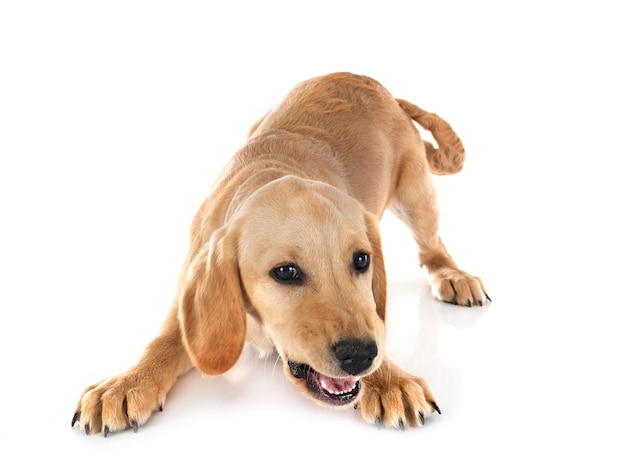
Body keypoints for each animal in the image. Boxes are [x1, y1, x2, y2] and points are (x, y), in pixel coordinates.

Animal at [69, 72, 488, 436]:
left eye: (361, 260)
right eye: (285, 272)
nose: (360, 355)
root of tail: (375, 85)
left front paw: (389, 379)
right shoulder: (188, 304)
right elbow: (162, 342)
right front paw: (126, 383)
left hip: (417, 195)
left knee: (433, 247)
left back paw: (452, 275)